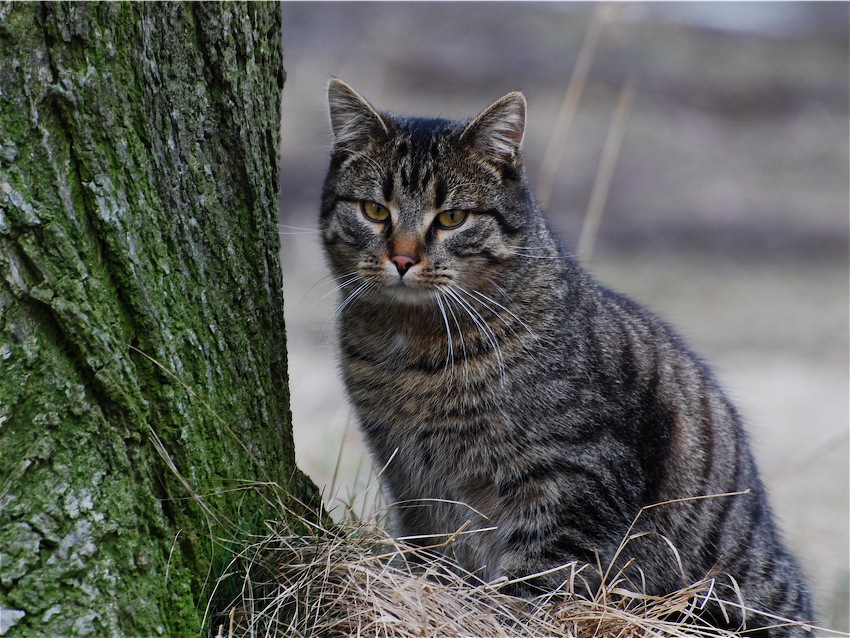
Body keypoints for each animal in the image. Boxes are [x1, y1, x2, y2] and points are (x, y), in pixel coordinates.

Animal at [316, 79, 808, 636]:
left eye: (452, 218)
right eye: (375, 211)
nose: (401, 258)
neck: (411, 353)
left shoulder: (574, 480)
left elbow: (533, 583)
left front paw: (501, 617)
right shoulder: (413, 486)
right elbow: (437, 559)